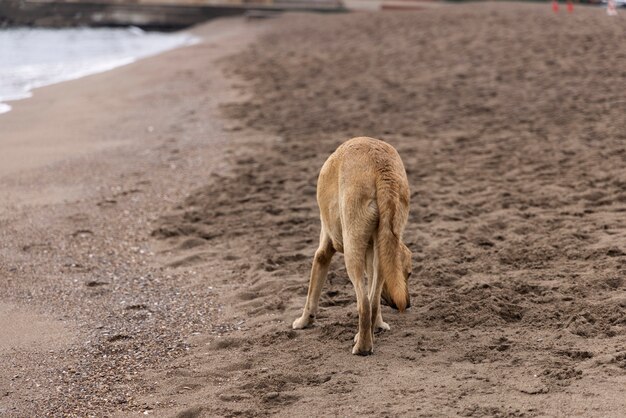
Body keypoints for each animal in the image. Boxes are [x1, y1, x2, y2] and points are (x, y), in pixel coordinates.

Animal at [292, 136, 412, 354]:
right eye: (407, 274)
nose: (408, 305)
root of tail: (382, 167)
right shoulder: (374, 254)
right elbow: (375, 298)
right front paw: (379, 326)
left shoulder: (323, 253)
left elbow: (311, 296)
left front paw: (303, 322)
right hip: (381, 248)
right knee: (372, 302)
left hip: (351, 250)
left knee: (364, 303)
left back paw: (362, 347)